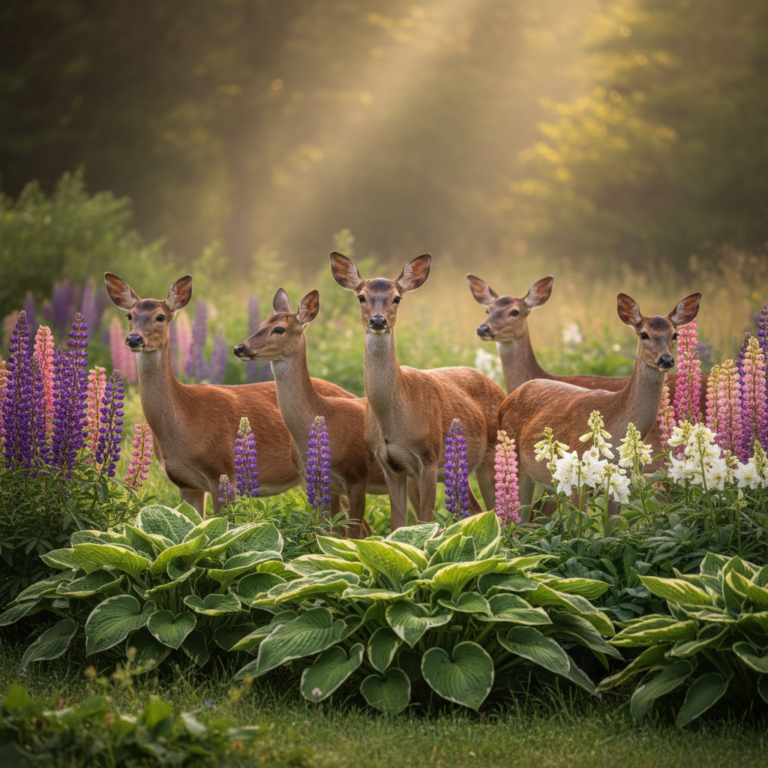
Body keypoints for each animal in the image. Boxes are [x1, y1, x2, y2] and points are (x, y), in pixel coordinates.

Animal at [104, 273, 357, 518]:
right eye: (129, 315)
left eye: (160, 317)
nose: (134, 339)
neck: (184, 418)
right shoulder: (186, 484)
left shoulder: (223, 471)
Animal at [233, 288, 388, 538]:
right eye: (261, 323)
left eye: (279, 329)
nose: (239, 348)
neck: (324, 414)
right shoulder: (322, 484)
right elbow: (324, 533)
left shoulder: (357, 476)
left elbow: (353, 536)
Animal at [330, 252, 506, 529]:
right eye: (361, 297)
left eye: (397, 298)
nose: (378, 320)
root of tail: (500, 389)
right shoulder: (390, 466)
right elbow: (398, 525)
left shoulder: (429, 457)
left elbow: (425, 520)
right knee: (478, 510)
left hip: (490, 456)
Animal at [499, 291, 701, 519]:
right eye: (644, 334)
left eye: (675, 334)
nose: (666, 359)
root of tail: (507, 399)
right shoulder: (578, 474)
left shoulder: (620, 477)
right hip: (516, 464)